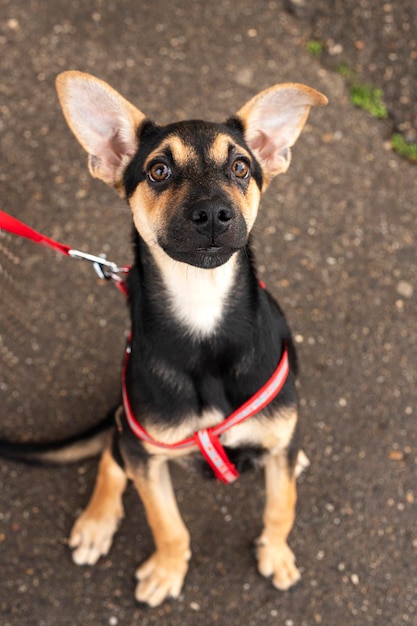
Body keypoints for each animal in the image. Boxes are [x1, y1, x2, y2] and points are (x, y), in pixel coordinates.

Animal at [4, 73, 326, 604]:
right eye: (158, 170)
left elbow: (282, 506)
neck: (202, 312)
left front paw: (276, 553)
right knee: (111, 455)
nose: (214, 214)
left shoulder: (278, 433)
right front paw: (167, 569)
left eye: (240, 166)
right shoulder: (146, 453)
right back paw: (96, 522)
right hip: (129, 428)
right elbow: (167, 522)